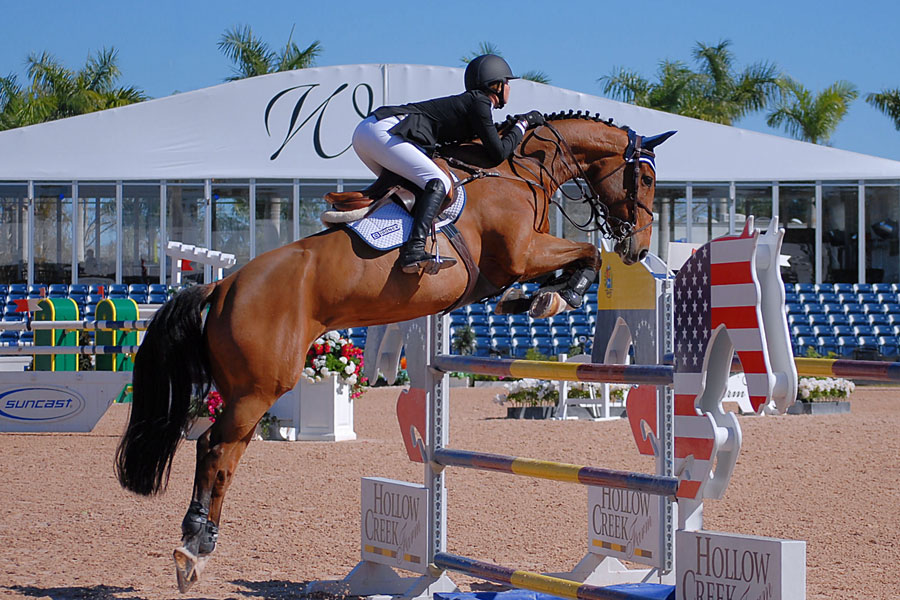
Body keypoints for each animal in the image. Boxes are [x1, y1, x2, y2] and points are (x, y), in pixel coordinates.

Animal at [112, 111, 672, 592]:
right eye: (644, 180)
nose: (639, 249)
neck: (517, 172)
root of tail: (224, 286)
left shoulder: (519, 259)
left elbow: (579, 259)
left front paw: (535, 298)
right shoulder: (520, 253)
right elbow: (588, 254)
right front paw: (559, 295)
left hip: (244, 387)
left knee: (216, 448)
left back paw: (196, 546)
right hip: (259, 388)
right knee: (216, 449)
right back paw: (194, 548)